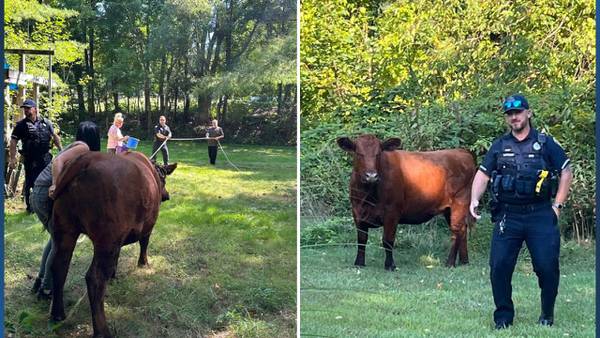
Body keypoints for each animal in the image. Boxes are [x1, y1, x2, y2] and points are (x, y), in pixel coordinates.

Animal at [49, 151, 176, 338]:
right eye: (164, 180)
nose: (166, 195)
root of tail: (88, 158)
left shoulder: (119, 240)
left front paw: (114, 274)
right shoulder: (147, 225)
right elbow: (144, 243)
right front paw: (143, 263)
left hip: (65, 230)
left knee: (59, 266)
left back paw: (57, 314)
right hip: (106, 239)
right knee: (95, 279)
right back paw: (102, 331)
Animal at [340, 134, 476, 270]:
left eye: (378, 153)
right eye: (358, 153)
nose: (371, 176)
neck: (368, 196)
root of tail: (462, 151)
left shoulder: (392, 212)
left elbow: (387, 240)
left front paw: (390, 265)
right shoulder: (357, 212)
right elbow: (361, 239)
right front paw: (359, 263)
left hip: (460, 202)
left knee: (456, 231)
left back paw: (450, 262)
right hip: (449, 209)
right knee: (463, 230)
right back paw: (464, 261)